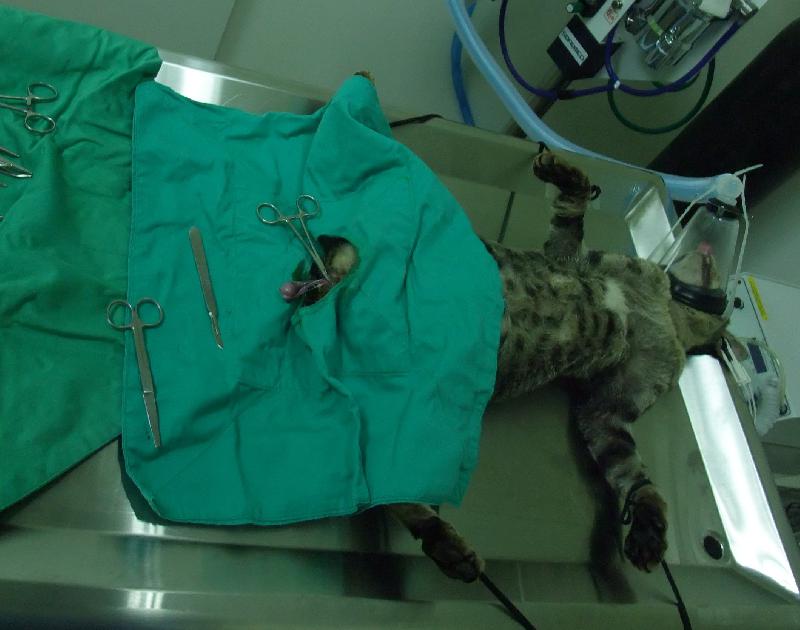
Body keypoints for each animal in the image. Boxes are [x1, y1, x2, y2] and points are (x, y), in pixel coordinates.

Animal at [309, 151, 728, 583]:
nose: (715, 224)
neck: (665, 309)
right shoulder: (574, 257)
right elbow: (573, 207)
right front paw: (564, 173)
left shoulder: (608, 409)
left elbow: (633, 474)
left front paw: (646, 522)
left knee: (386, 490)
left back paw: (443, 541)